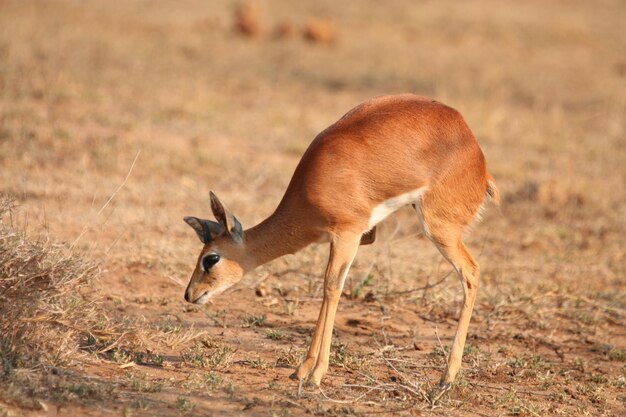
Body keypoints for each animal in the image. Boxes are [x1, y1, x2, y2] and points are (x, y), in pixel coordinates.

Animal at [180, 93, 498, 396]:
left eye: (211, 258)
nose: (190, 294)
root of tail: (475, 151)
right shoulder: (350, 236)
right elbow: (329, 286)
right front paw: (302, 368)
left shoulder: (348, 233)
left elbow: (331, 287)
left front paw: (316, 374)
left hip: (440, 229)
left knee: (471, 272)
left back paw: (446, 378)